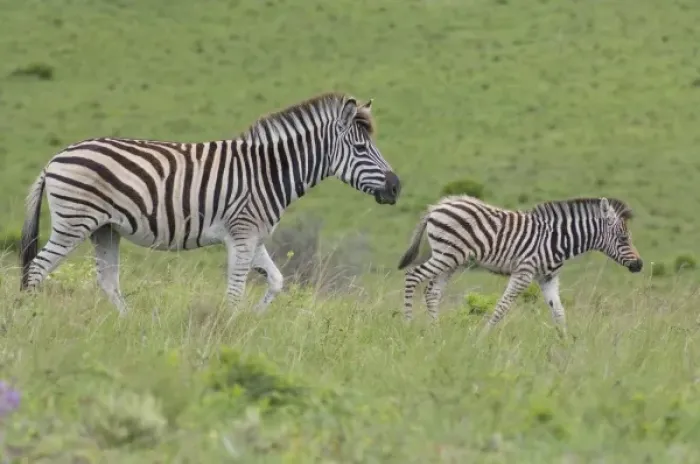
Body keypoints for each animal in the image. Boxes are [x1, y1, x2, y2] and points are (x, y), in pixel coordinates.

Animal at [19, 92, 401, 315]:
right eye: (361, 148)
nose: (397, 188)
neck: (268, 171)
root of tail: (54, 159)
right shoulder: (243, 234)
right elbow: (235, 290)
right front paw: (228, 329)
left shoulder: (253, 236)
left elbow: (276, 281)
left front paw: (254, 319)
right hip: (74, 222)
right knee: (36, 269)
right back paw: (30, 317)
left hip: (105, 229)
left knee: (108, 282)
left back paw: (128, 326)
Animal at [397, 195, 643, 336]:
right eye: (623, 238)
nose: (639, 265)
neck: (556, 239)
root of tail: (437, 206)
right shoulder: (524, 273)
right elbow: (502, 306)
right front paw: (483, 338)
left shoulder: (547, 278)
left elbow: (559, 311)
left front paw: (565, 343)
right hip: (447, 255)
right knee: (413, 275)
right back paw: (408, 324)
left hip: (452, 260)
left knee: (432, 291)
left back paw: (435, 331)